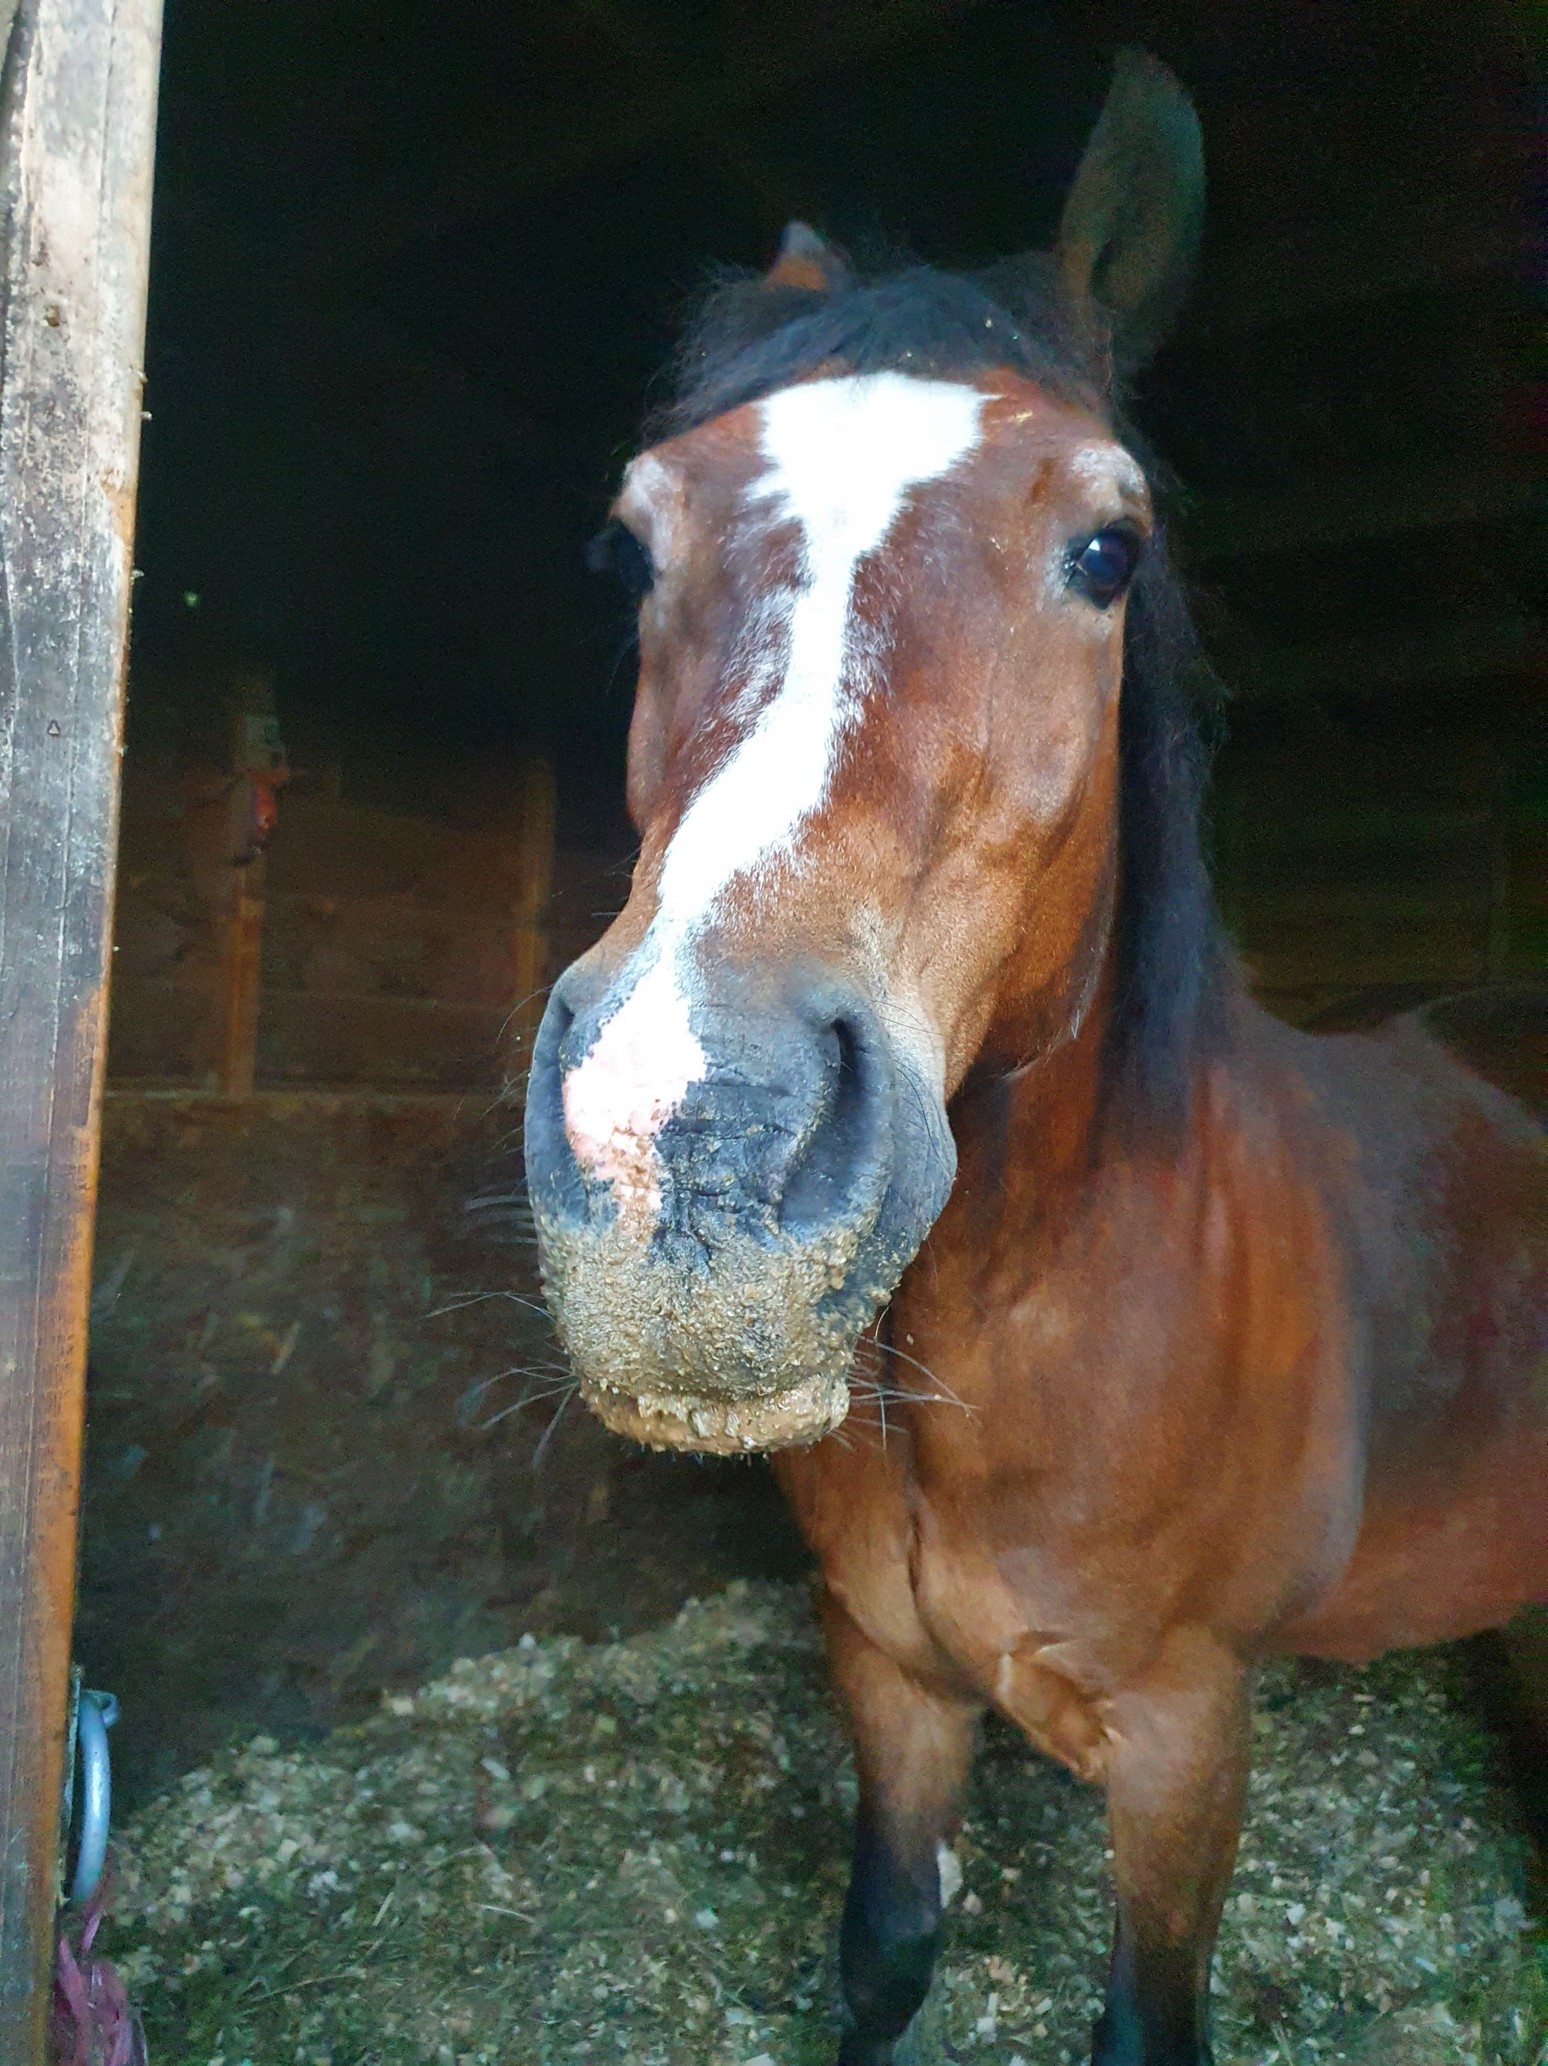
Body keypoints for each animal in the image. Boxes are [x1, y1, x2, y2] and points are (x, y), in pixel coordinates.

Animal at [523, 52, 1547, 2066]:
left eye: (1105, 548)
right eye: (631, 542)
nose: (684, 1136)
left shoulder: (1181, 1739)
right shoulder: (888, 1678)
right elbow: (883, 1953)